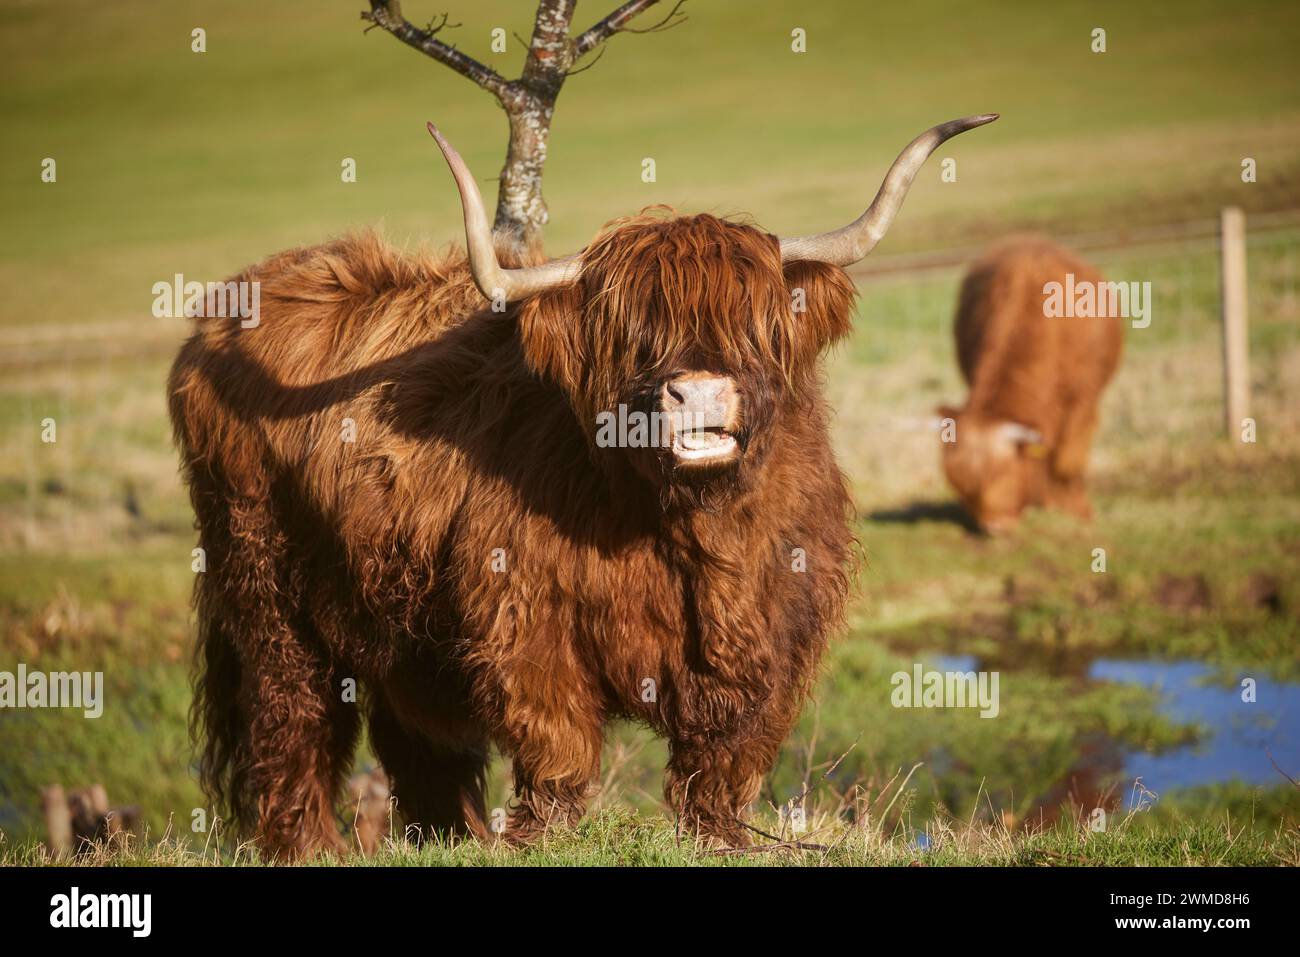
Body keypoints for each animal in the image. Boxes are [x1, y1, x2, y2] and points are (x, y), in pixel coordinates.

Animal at [165, 113, 993, 858]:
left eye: (751, 321)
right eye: (635, 335)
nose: (698, 395)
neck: (689, 528)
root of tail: (232, 306)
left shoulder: (774, 632)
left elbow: (723, 761)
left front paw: (721, 836)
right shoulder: (527, 619)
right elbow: (556, 746)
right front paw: (544, 835)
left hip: (393, 610)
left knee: (415, 734)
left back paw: (449, 834)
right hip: (266, 591)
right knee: (293, 719)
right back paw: (305, 843)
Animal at [935, 236, 1128, 535]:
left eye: (1002, 472)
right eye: (959, 484)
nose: (994, 527)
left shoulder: (1082, 401)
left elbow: (1067, 458)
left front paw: (1078, 509)